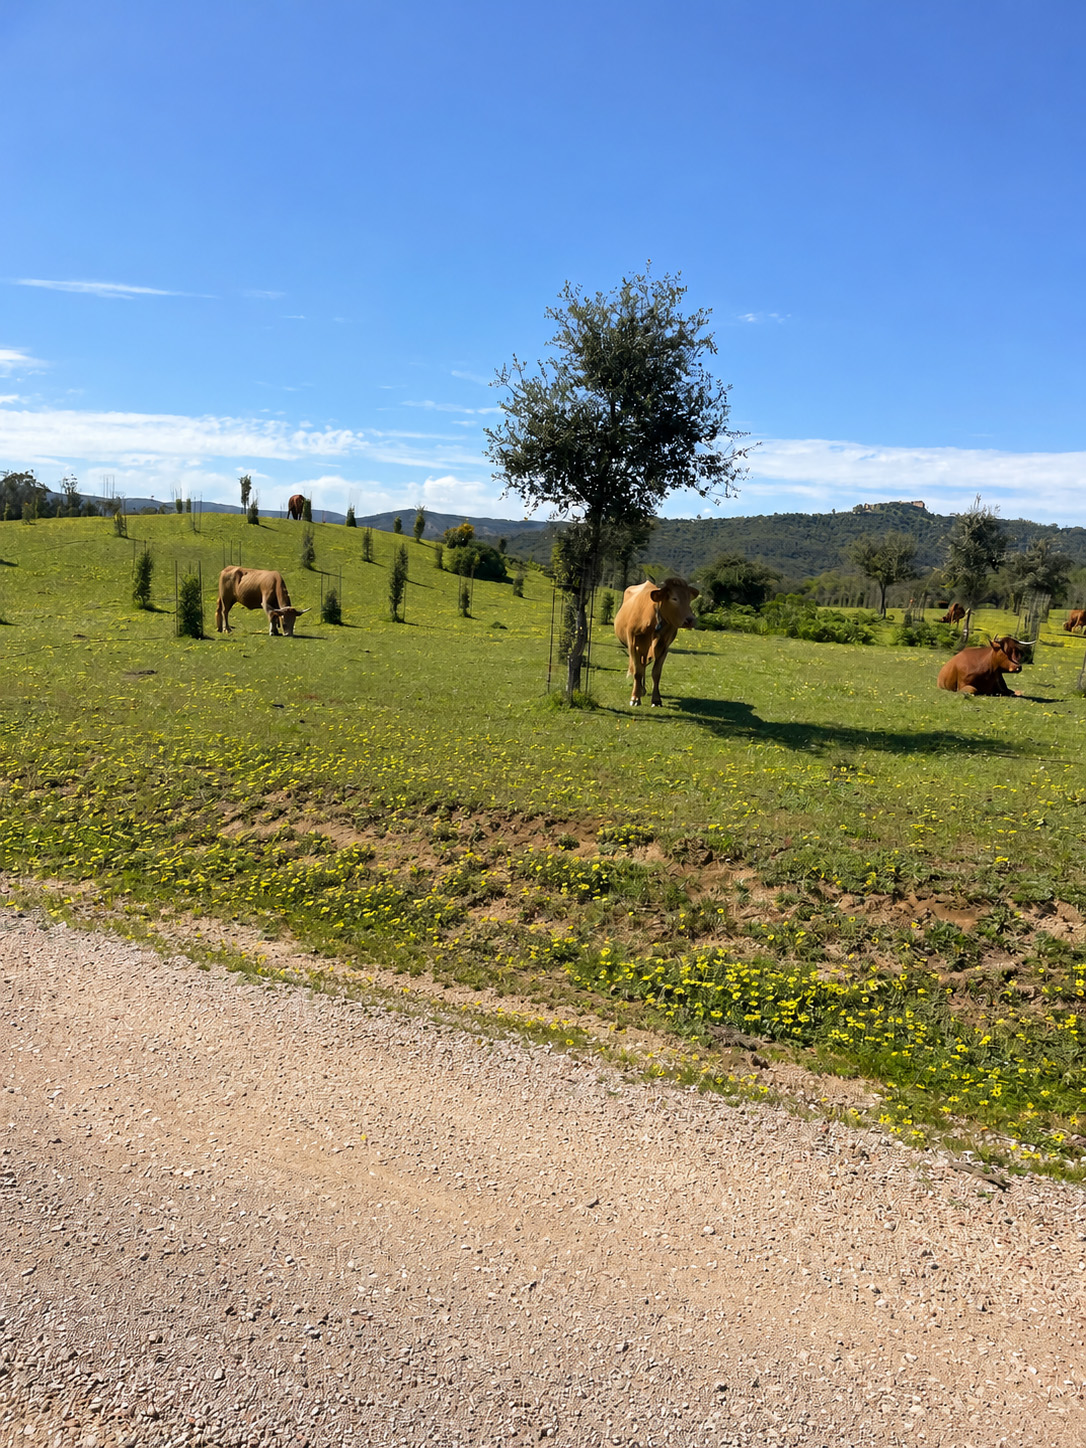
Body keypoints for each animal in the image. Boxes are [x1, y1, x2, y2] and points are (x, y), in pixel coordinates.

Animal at [614, 577, 700, 707]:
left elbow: (656, 673)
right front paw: (635, 698)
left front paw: (656, 699)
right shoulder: (633, 643)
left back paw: (642, 689)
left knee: (643, 664)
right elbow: (637, 671)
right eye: (674, 598)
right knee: (639, 667)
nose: (690, 620)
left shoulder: (664, 646)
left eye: (689, 599)